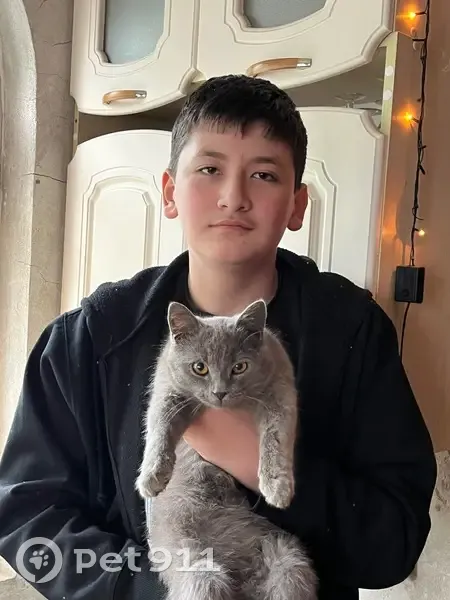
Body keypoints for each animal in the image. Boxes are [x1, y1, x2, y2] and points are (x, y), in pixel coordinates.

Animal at [136, 299, 317, 600]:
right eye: (199, 367)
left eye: (239, 367)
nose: (220, 392)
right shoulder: (167, 389)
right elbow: (159, 424)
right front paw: (152, 477)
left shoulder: (280, 393)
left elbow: (275, 439)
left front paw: (277, 487)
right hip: (198, 570)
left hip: (287, 559)